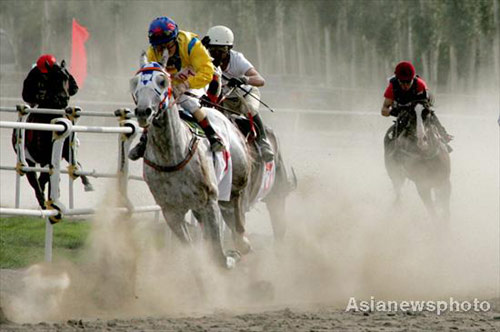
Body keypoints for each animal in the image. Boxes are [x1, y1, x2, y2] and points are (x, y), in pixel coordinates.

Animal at [11, 59, 93, 208]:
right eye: (53, 78)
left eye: (66, 77)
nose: (63, 99)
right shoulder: (43, 155)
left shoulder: (65, 151)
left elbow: (76, 164)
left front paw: (87, 183)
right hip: (28, 161)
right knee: (34, 181)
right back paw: (43, 201)